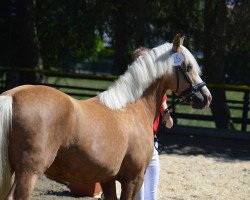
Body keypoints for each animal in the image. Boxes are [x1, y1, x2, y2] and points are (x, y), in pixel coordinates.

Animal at [0, 34, 212, 200]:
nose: (206, 97)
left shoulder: (107, 179)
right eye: (188, 66)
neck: (132, 106)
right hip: (29, 173)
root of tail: (13, 96)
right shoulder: (133, 179)